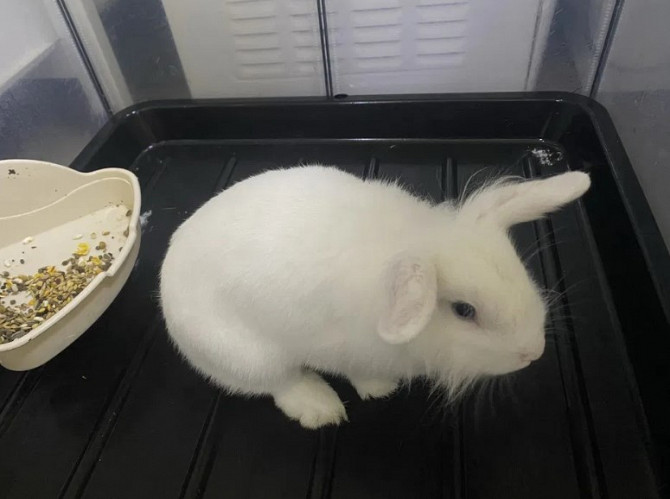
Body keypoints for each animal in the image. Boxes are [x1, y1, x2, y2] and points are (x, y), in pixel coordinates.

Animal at [159, 165, 590, 429]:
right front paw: (380, 388)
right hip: (248, 355)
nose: (533, 352)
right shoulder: (340, 349)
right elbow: (357, 371)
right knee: (277, 383)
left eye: (520, 269)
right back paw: (321, 408)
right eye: (464, 311)